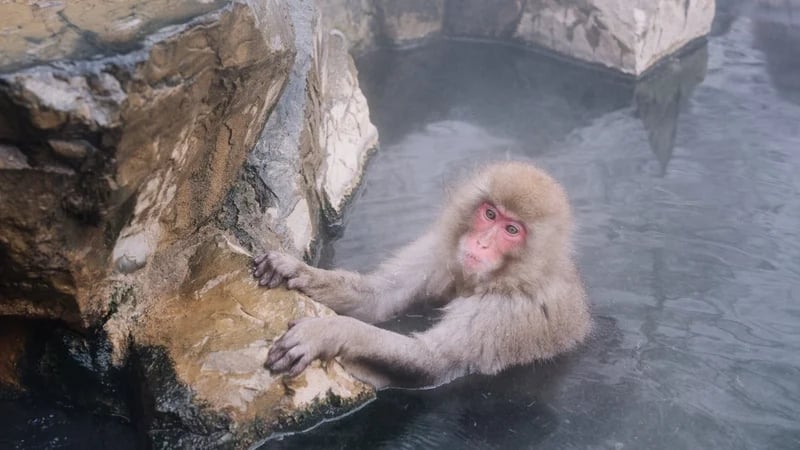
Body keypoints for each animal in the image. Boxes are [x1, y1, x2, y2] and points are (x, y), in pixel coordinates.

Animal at [253, 161, 590, 389]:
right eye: (490, 214)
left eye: (511, 230)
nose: (481, 243)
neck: (505, 276)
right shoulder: (440, 251)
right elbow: (379, 298)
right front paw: (294, 269)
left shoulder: (507, 311)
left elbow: (432, 361)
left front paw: (329, 331)